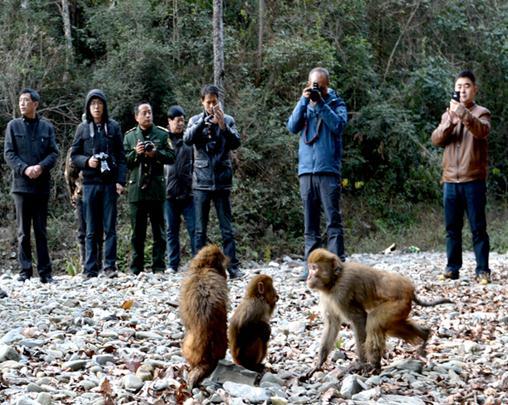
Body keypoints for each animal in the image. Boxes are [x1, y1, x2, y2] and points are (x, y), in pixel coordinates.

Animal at [306, 248, 452, 378]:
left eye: (314, 268)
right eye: (310, 268)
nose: (308, 276)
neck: (334, 281)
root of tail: (409, 289)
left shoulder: (342, 292)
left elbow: (359, 318)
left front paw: (361, 363)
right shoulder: (327, 297)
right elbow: (332, 324)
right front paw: (319, 363)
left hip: (397, 304)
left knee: (373, 322)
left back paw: (374, 365)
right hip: (401, 308)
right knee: (392, 326)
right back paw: (425, 335)